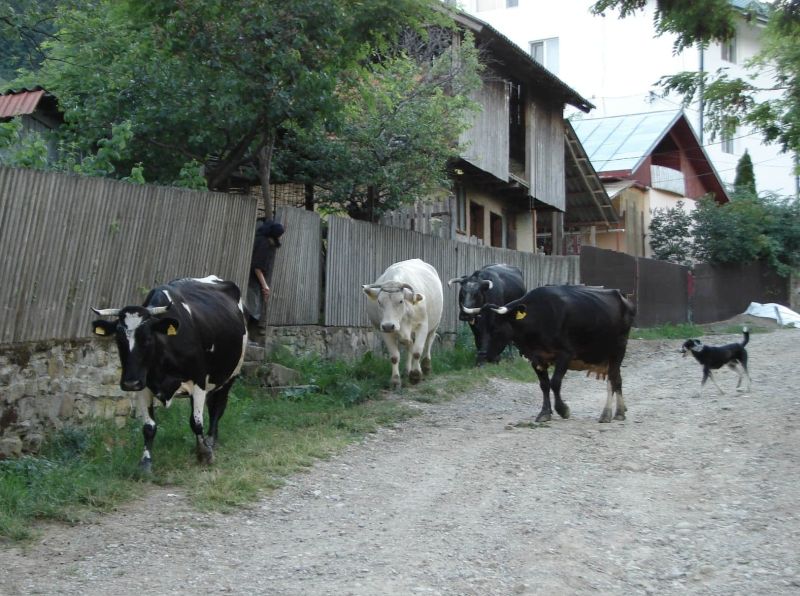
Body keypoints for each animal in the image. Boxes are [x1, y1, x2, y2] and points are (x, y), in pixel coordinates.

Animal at [91, 276, 247, 470]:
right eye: (119, 340)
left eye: (148, 338)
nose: (129, 383)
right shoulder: (143, 385)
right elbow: (149, 427)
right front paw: (145, 462)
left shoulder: (199, 380)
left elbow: (196, 422)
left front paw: (204, 454)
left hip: (230, 374)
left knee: (217, 406)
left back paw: (211, 440)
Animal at [362, 258, 444, 388]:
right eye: (379, 302)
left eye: (400, 301)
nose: (389, 325)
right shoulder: (385, 330)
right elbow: (395, 356)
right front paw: (395, 380)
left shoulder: (422, 325)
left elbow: (417, 352)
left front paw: (415, 375)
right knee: (410, 345)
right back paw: (407, 370)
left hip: (435, 324)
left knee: (429, 342)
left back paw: (426, 367)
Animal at [466, 286, 636, 422]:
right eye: (477, 328)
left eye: (496, 328)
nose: (482, 354)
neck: (539, 317)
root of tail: (620, 295)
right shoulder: (536, 358)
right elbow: (544, 385)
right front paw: (545, 413)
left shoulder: (565, 354)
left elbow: (555, 382)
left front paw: (563, 410)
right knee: (616, 380)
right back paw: (619, 411)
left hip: (618, 349)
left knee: (613, 380)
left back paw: (609, 414)